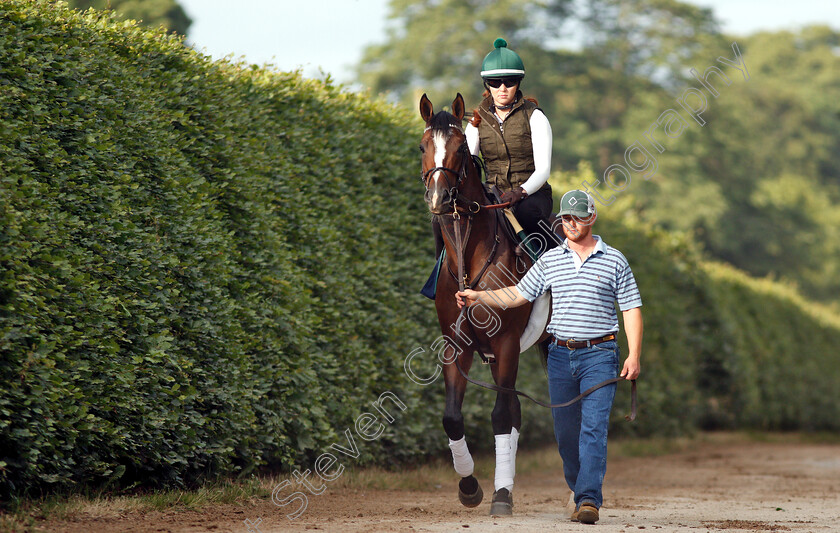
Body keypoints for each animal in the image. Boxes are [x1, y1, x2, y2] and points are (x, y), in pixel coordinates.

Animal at [418, 92, 548, 516]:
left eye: (461, 148)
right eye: (422, 146)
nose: (439, 199)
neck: (470, 258)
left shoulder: (506, 343)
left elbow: (500, 417)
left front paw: (501, 495)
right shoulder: (457, 347)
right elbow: (452, 418)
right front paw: (470, 487)